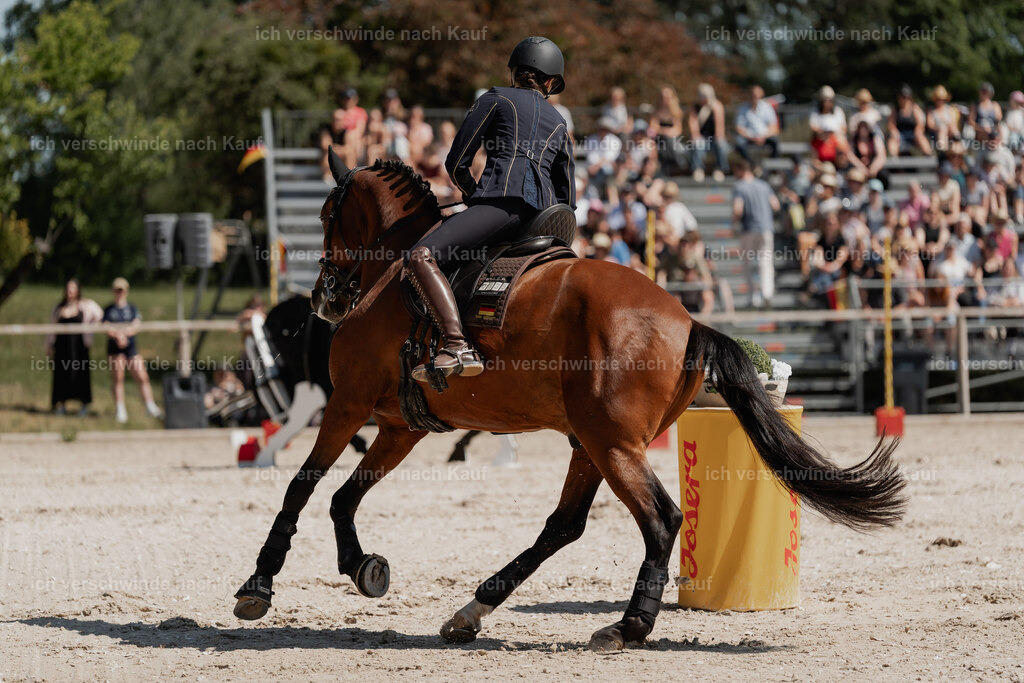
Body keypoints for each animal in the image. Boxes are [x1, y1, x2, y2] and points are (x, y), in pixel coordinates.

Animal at [233, 152, 907, 652]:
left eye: (329, 214)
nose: (323, 297)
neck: (397, 267)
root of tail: (687, 322)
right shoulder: (402, 427)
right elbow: (343, 495)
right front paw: (361, 566)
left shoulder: (347, 405)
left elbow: (302, 486)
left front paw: (259, 583)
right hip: (588, 440)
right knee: (564, 524)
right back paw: (473, 609)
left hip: (611, 444)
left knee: (660, 519)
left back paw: (628, 626)